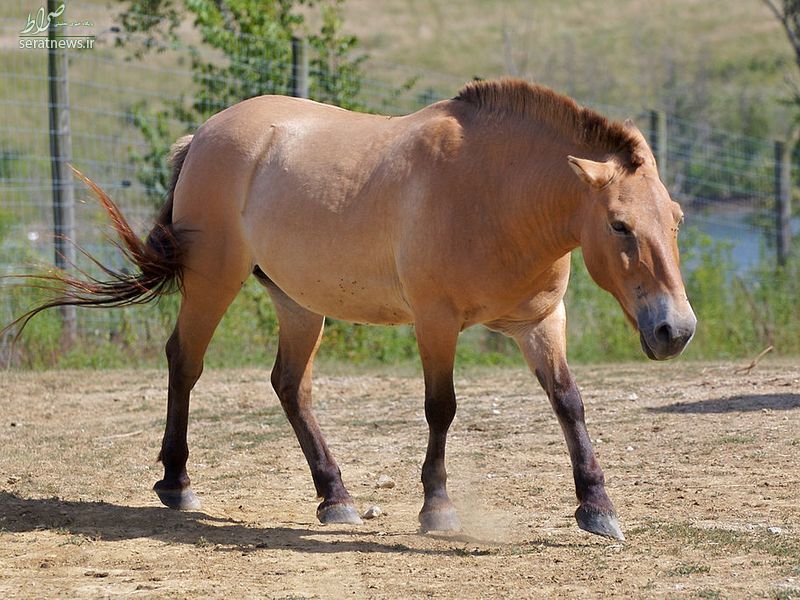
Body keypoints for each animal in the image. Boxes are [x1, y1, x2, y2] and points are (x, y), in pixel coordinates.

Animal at [7, 77, 692, 540]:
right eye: (621, 225)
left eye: (677, 219)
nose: (675, 329)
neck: (495, 192)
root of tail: (202, 137)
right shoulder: (436, 321)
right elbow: (441, 408)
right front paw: (437, 508)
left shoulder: (540, 323)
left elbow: (569, 403)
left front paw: (598, 508)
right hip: (212, 281)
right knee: (185, 363)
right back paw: (178, 485)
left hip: (297, 303)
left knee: (290, 386)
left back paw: (334, 495)